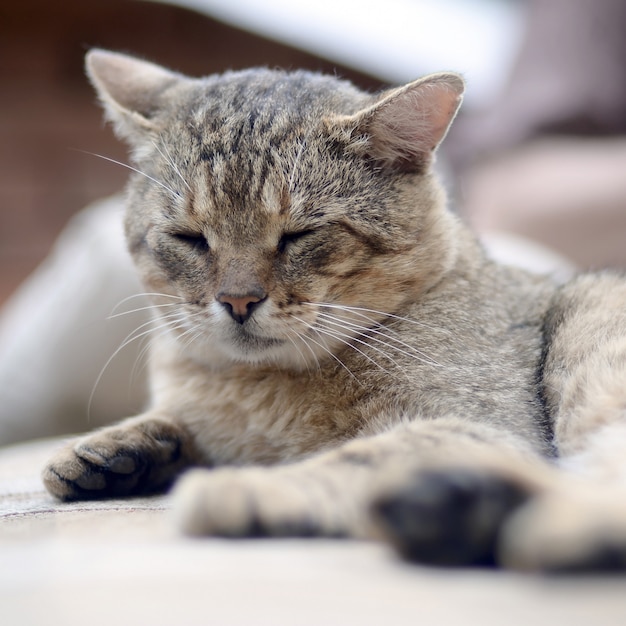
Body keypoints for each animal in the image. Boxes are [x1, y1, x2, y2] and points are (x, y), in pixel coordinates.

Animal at [42, 48, 624, 572]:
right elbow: (181, 423)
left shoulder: (480, 425)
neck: (260, 388)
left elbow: (357, 457)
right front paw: (118, 449)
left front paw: (248, 487)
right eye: (190, 238)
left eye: (299, 235)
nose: (237, 300)